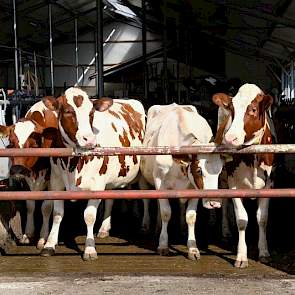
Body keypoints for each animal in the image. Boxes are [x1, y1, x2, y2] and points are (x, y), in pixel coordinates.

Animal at [0, 102, 59, 250]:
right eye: (11, 143)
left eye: (33, 144)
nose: (17, 169)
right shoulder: (26, 180)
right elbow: (30, 205)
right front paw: (28, 234)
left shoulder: (52, 182)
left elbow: (46, 208)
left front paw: (42, 238)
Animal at [140, 104, 223, 262]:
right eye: (199, 170)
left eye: (220, 171)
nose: (214, 203)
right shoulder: (160, 183)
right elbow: (166, 213)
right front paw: (163, 245)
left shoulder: (195, 189)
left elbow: (191, 216)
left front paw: (193, 248)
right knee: (148, 201)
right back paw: (150, 226)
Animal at [213, 82, 276, 268]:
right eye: (232, 109)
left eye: (253, 109)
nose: (230, 138)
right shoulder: (233, 183)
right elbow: (242, 219)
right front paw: (241, 256)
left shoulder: (270, 184)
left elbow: (262, 218)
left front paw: (264, 252)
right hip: (223, 177)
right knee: (224, 203)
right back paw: (226, 230)